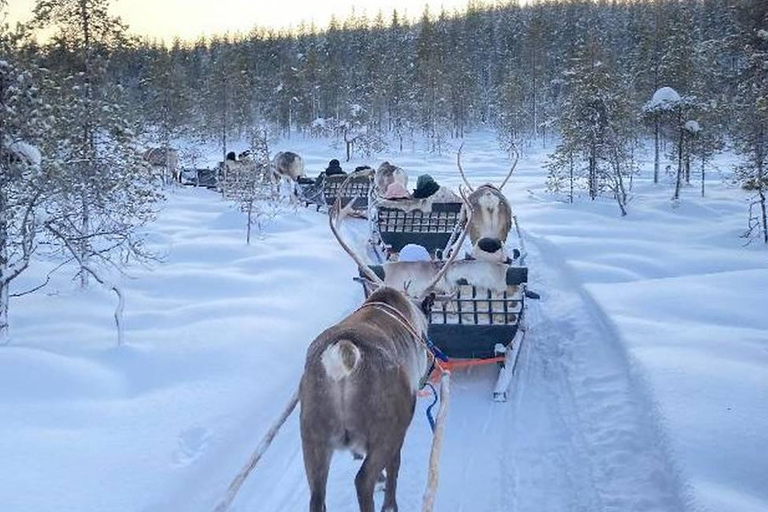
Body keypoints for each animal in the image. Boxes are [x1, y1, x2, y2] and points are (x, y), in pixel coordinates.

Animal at [299, 180, 471, 512]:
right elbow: (395, 468)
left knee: (317, 496)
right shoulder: (402, 424)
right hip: (386, 427)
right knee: (362, 480)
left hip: (311, 434)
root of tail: (344, 357)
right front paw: (389, 497)